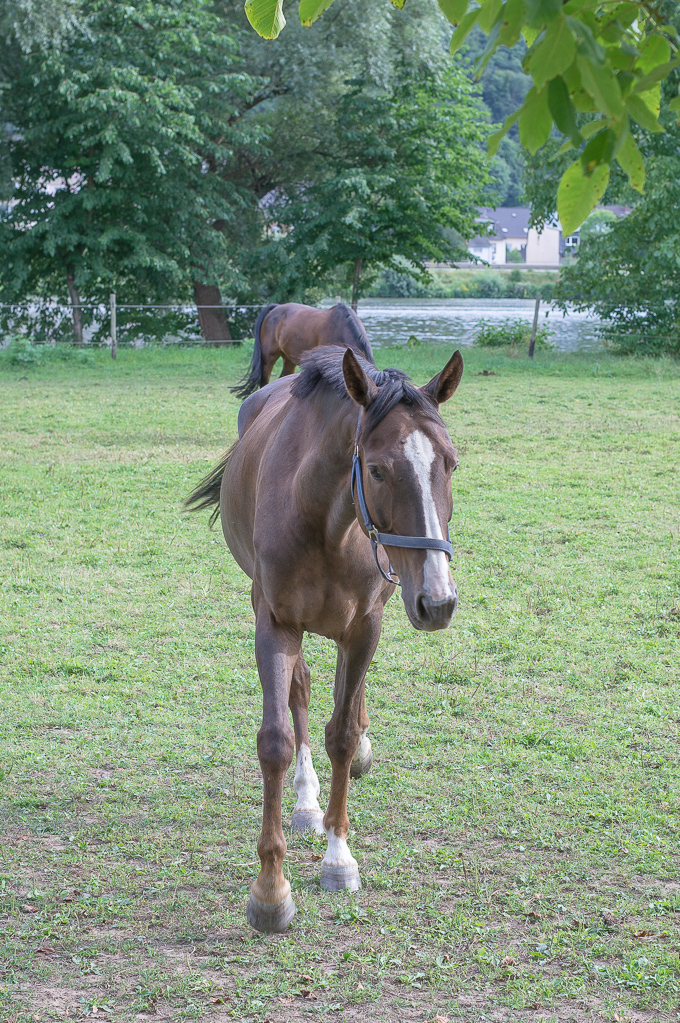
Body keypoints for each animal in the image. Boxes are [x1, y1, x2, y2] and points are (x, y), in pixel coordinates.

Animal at [187, 342, 464, 932]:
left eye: (450, 463)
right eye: (377, 470)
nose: (438, 601)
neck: (327, 524)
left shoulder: (365, 626)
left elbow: (341, 732)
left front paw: (339, 859)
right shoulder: (275, 624)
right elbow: (277, 739)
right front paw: (271, 890)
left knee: (346, 701)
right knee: (306, 690)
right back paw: (307, 799)